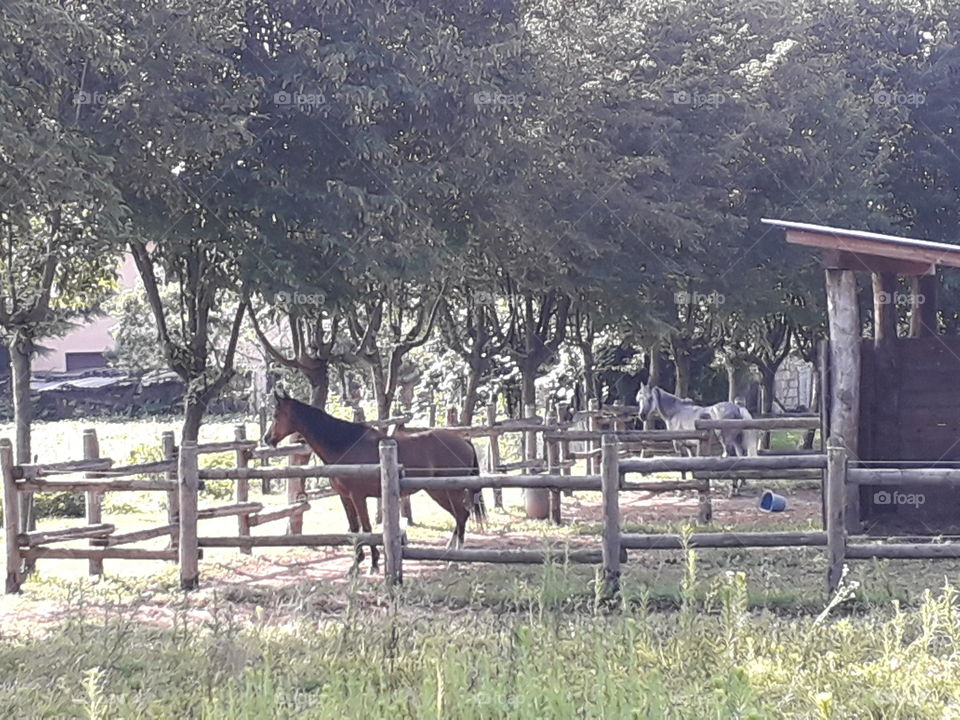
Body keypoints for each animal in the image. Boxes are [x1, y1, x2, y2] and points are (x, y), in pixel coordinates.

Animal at [262, 389, 486, 573]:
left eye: (275, 416)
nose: (266, 438)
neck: (346, 445)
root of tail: (464, 441)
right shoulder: (345, 497)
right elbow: (354, 530)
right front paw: (355, 565)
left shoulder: (358, 497)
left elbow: (367, 529)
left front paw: (373, 563)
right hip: (440, 492)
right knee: (459, 517)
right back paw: (449, 552)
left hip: (447, 491)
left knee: (462, 515)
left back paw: (455, 560)